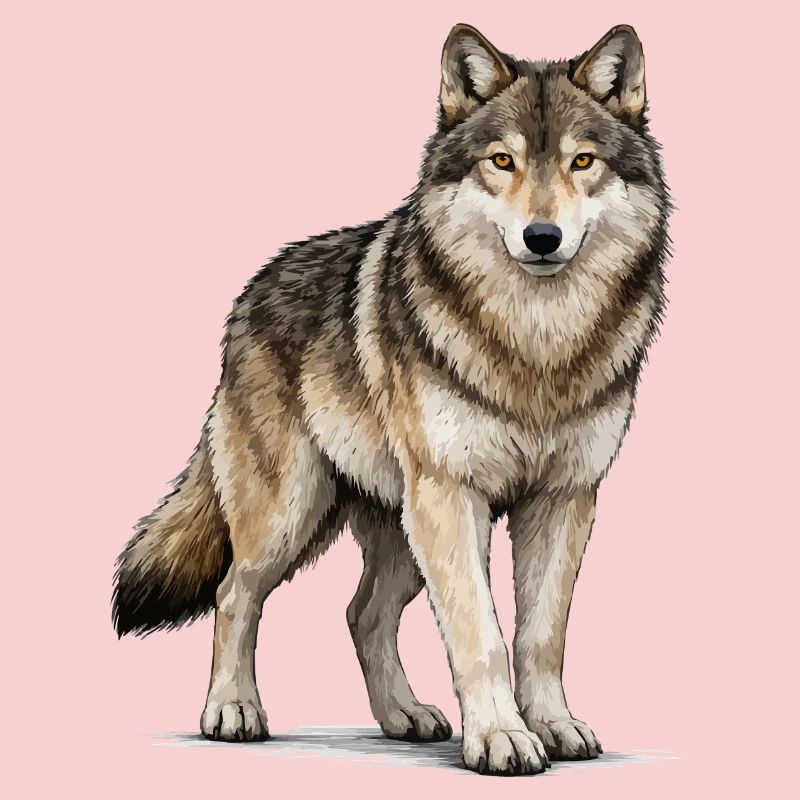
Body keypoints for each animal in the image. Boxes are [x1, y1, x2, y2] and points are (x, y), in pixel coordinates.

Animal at [113, 23, 669, 775]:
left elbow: (540, 636)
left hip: (400, 529)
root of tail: (251, 291)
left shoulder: (565, 498)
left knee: (362, 614)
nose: (542, 238)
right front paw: (501, 738)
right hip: (294, 514)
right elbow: (481, 635)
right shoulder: (452, 495)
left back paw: (403, 715)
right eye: (502, 161)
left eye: (582, 161)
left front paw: (552, 725)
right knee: (235, 593)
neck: (536, 345)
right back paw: (231, 711)